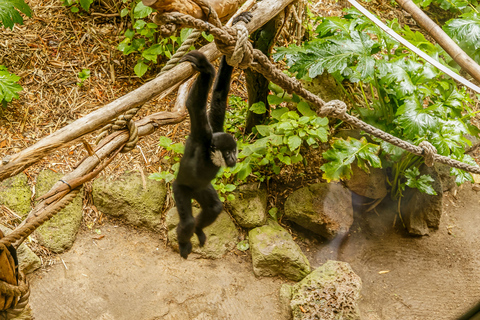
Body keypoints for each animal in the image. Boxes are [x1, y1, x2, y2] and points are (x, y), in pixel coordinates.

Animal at [174, 11, 253, 260]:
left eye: (235, 151)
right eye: (228, 153)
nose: (234, 159)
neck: (209, 156)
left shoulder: (214, 128)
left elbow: (219, 95)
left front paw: (239, 19)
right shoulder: (202, 134)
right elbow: (194, 105)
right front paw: (206, 68)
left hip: (201, 189)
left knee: (214, 208)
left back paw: (199, 230)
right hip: (180, 188)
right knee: (187, 221)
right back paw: (185, 242)